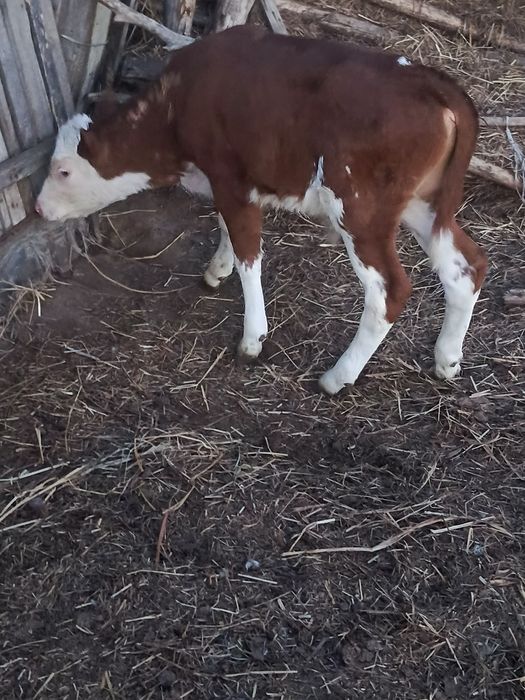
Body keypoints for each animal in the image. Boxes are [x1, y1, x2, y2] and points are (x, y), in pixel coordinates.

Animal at [35, 25, 487, 395]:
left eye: (62, 171)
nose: (38, 207)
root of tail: (434, 82)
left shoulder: (230, 177)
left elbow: (248, 252)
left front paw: (252, 339)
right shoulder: (228, 183)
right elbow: (226, 229)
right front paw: (217, 269)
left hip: (360, 208)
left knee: (389, 291)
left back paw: (337, 378)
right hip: (423, 203)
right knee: (466, 266)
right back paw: (447, 360)